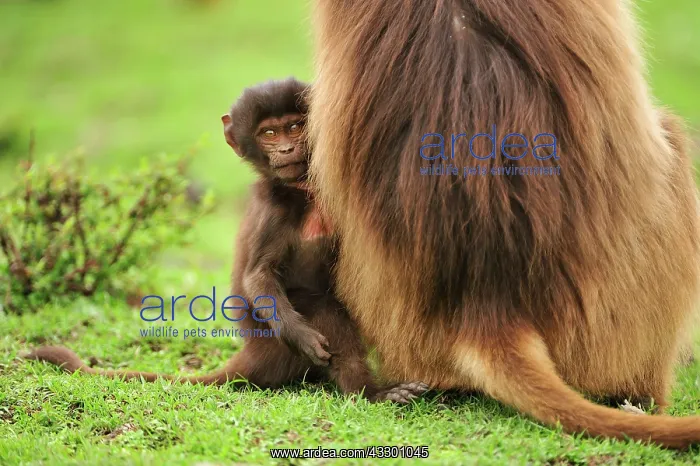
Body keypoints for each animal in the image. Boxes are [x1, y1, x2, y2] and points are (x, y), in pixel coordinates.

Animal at [23, 78, 428, 404]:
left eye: (294, 126)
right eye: (269, 135)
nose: (286, 150)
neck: (301, 194)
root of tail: (252, 354)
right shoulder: (272, 212)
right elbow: (258, 276)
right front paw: (302, 335)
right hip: (275, 344)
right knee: (321, 308)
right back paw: (370, 392)